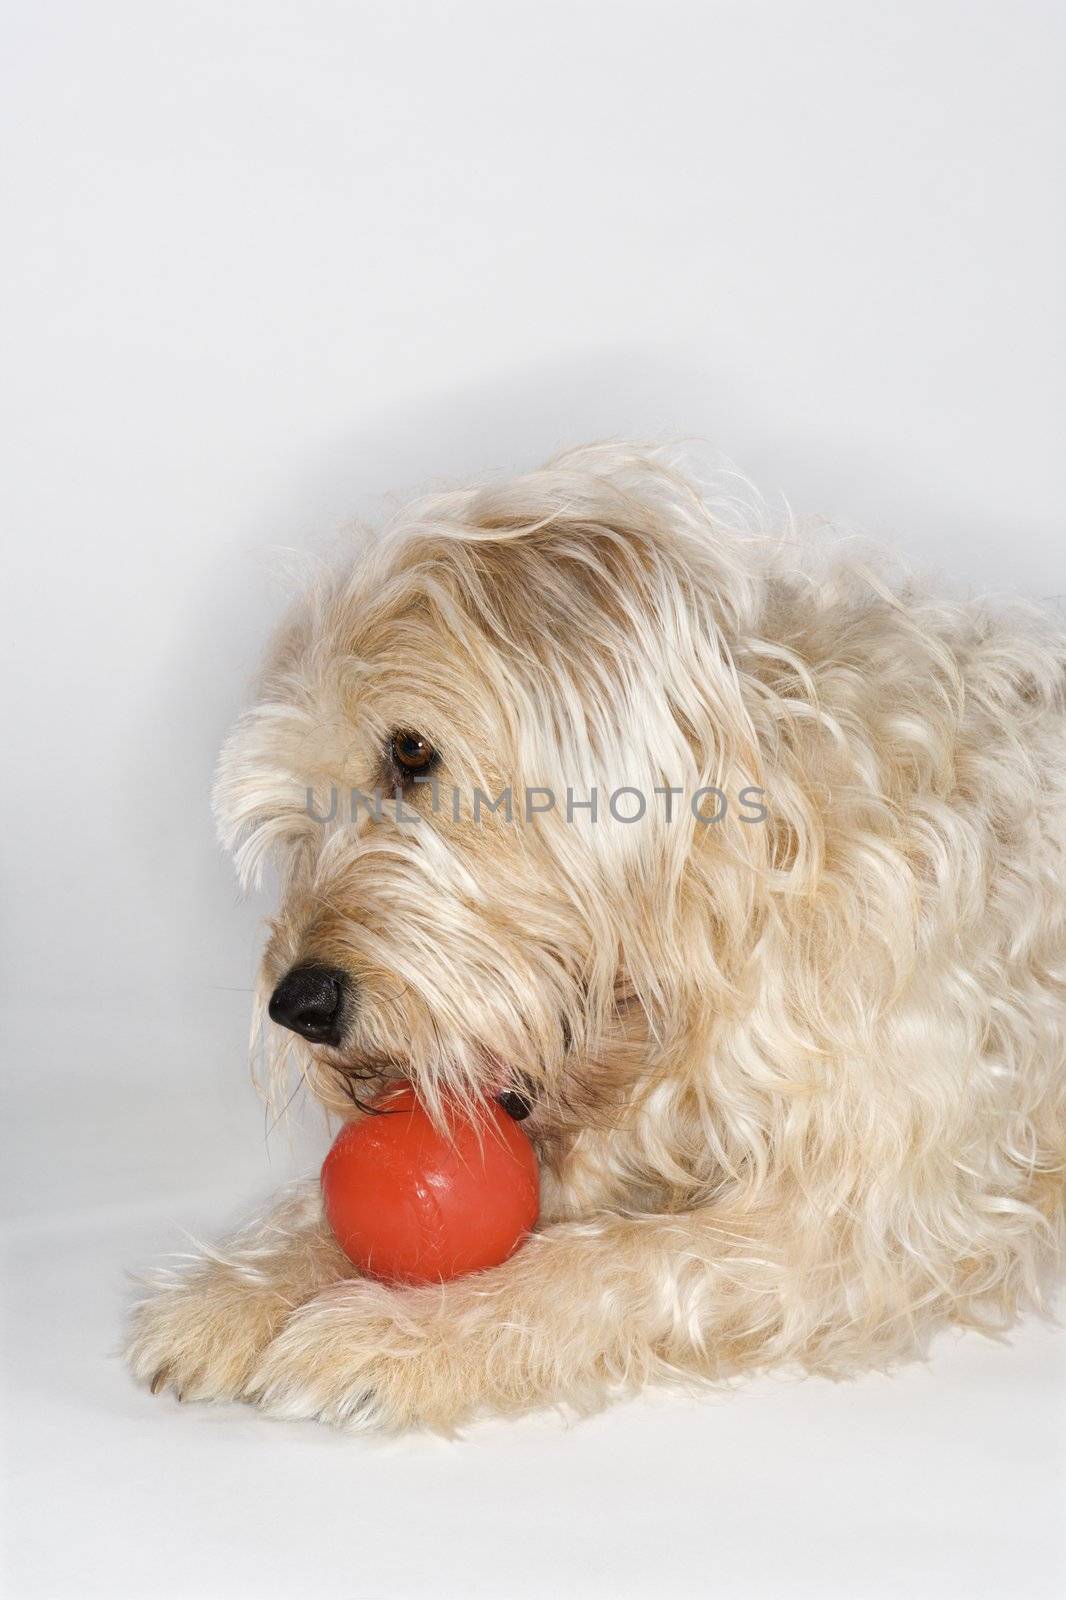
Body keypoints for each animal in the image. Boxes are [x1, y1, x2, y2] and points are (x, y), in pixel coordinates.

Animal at [128, 444, 1062, 1433]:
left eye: (412, 752)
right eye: (298, 816)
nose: (298, 1005)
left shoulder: (862, 1221)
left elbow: (614, 1263)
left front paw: (403, 1333)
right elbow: (326, 1212)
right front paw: (236, 1289)